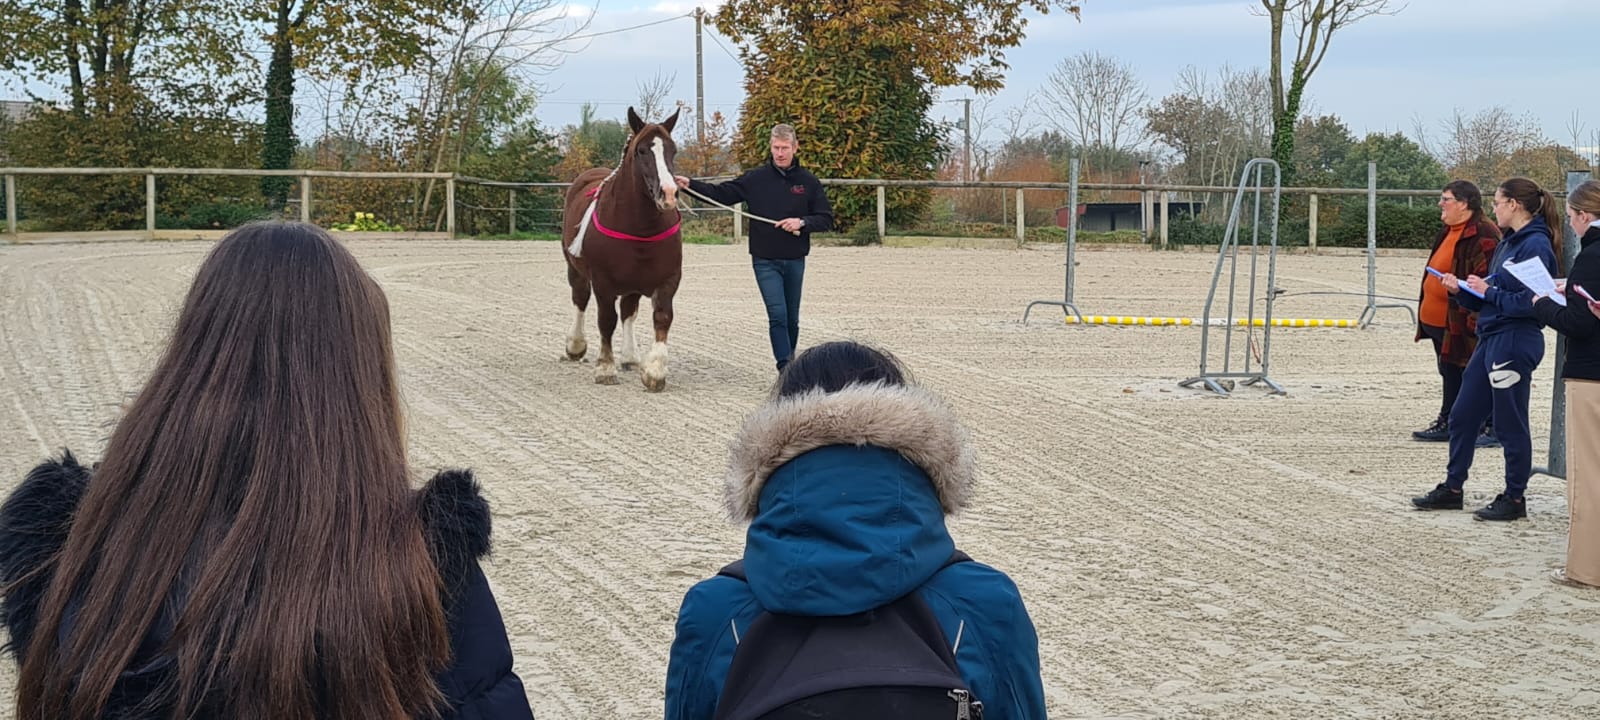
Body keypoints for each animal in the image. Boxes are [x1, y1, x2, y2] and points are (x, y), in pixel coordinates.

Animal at [563, 104, 681, 390]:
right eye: (641, 151)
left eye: (673, 150)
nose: (668, 193)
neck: (639, 227)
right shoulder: (603, 282)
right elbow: (606, 321)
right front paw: (605, 368)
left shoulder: (669, 279)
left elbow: (662, 317)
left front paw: (655, 371)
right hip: (576, 269)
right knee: (580, 299)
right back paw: (576, 345)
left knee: (628, 311)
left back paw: (629, 356)